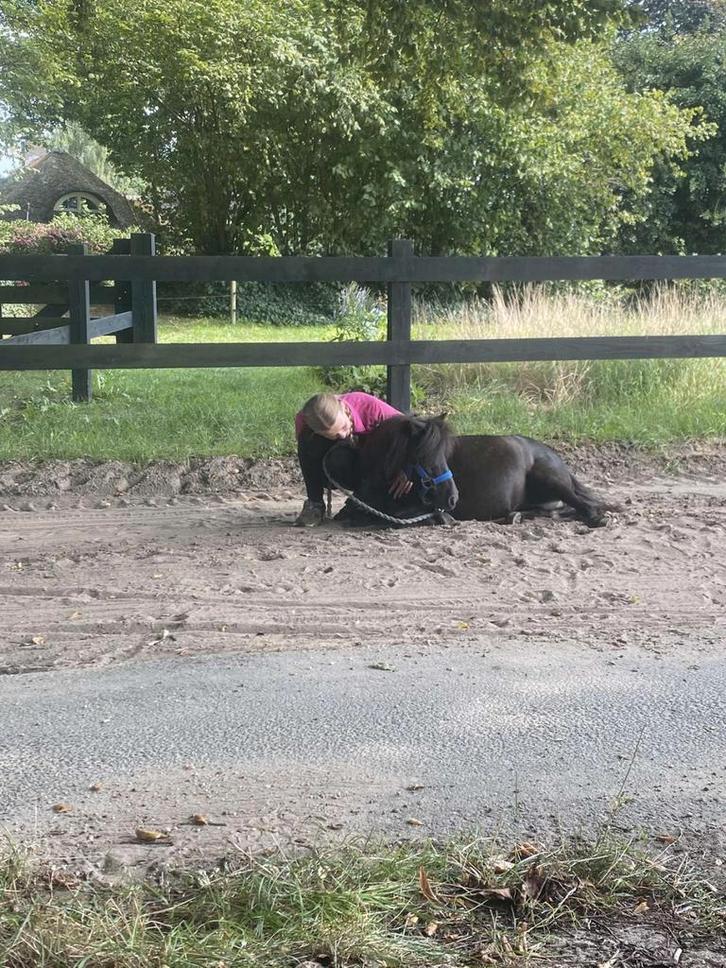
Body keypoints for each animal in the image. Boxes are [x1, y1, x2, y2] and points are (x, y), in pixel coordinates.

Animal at [324, 414, 610, 528]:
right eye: (424, 457)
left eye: (444, 454)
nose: (453, 498)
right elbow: (355, 515)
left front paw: (444, 518)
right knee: (556, 510)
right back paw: (515, 516)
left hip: (550, 480)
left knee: (584, 505)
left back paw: (598, 518)